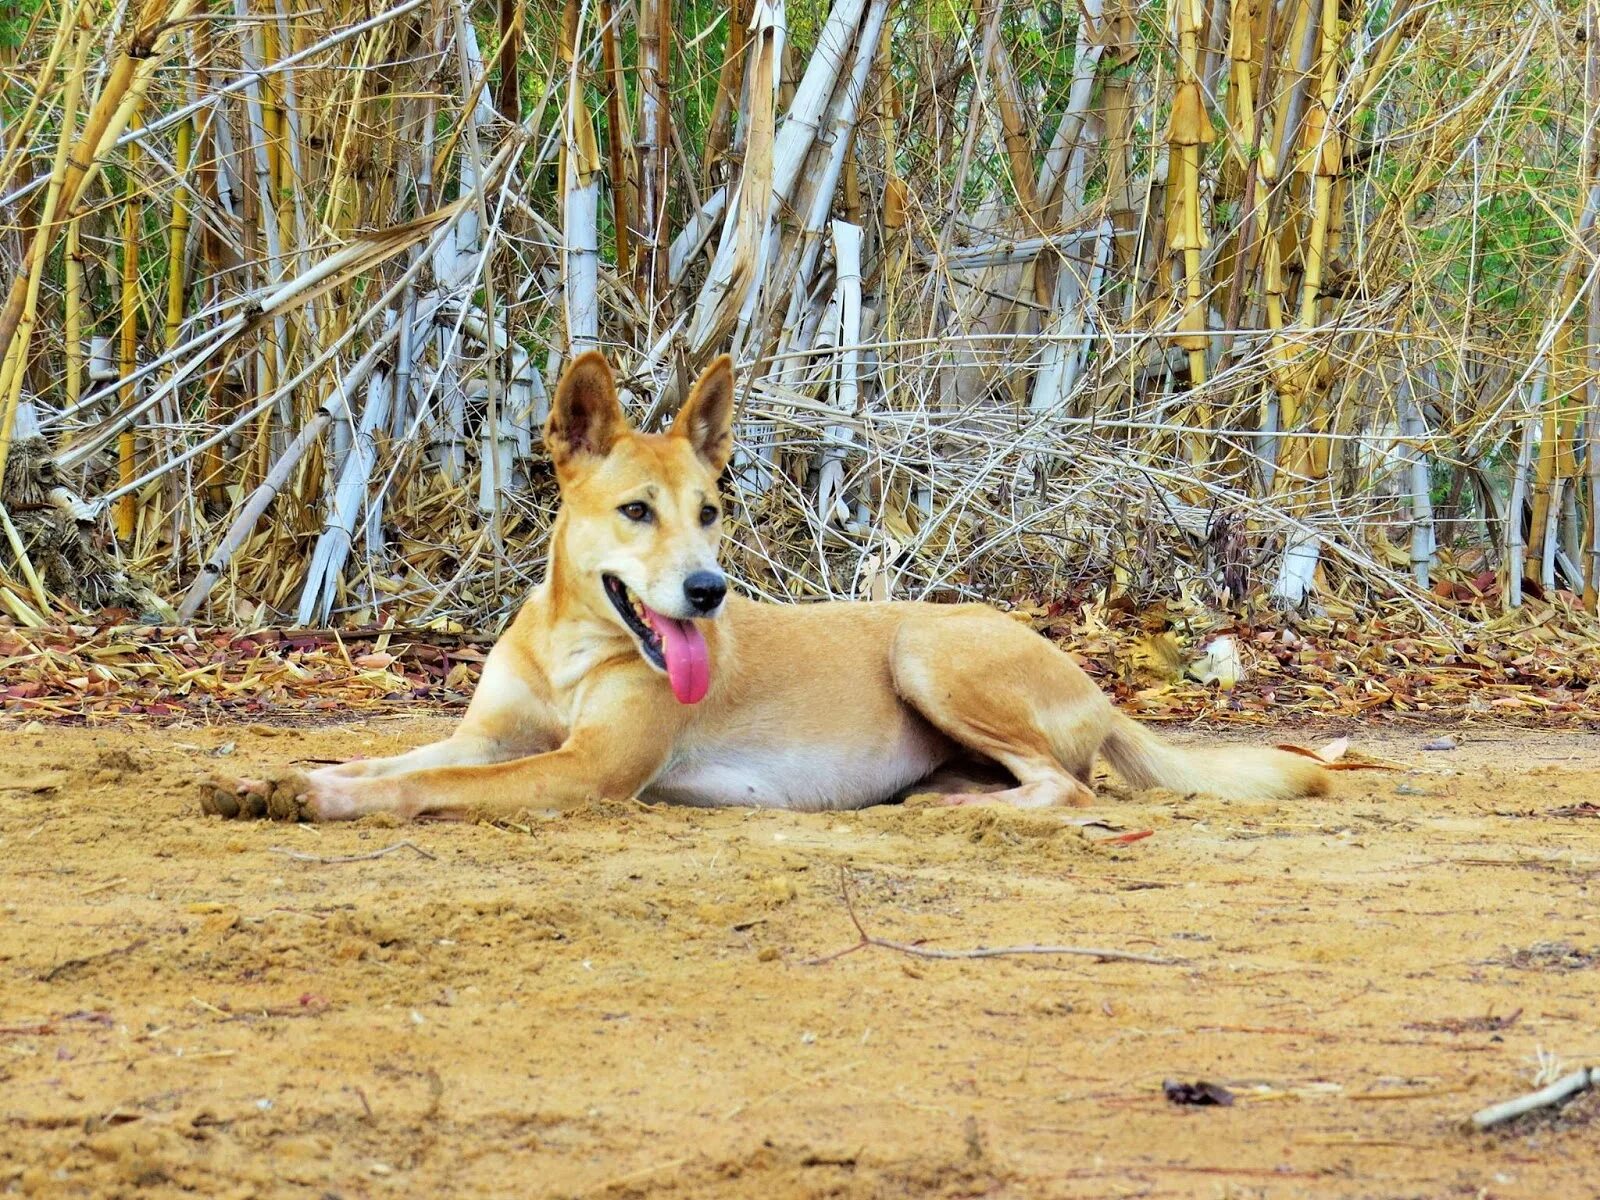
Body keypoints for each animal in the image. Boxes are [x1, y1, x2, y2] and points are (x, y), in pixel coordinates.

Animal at [200, 352, 1324, 825]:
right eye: (636, 511)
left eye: (710, 509)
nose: (707, 592)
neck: (572, 649)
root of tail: (1098, 688)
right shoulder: (488, 738)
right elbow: (400, 756)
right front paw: (286, 775)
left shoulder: (581, 773)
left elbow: (418, 786)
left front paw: (322, 797)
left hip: (926, 649)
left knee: (1065, 785)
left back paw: (959, 809)